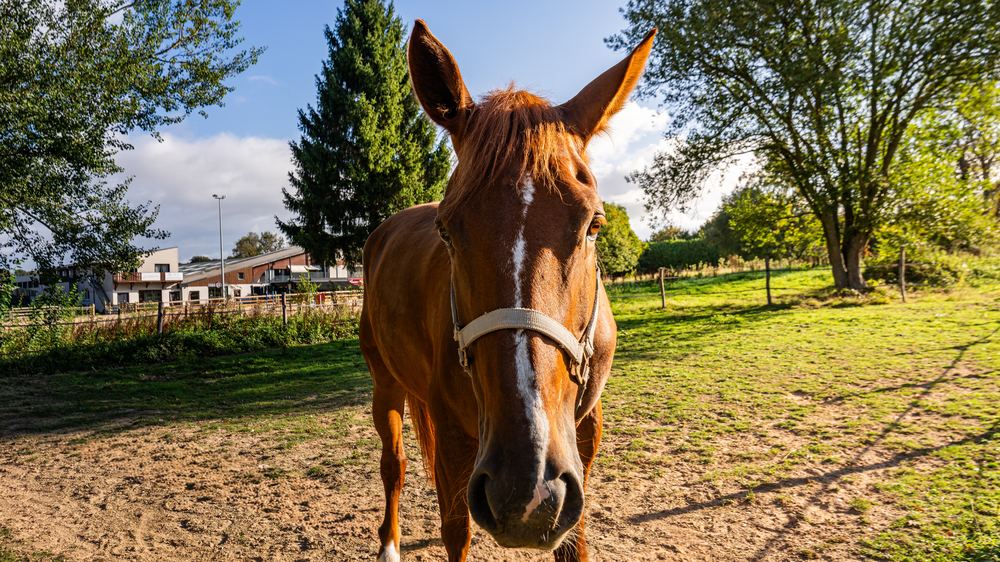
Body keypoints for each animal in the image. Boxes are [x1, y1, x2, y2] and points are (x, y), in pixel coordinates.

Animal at [359, 20, 655, 562]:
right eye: (447, 230)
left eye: (594, 225)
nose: (527, 490)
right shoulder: (456, 441)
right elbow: (457, 532)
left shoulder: (582, 440)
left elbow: (573, 540)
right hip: (385, 383)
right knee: (394, 463)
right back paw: (389, 544)